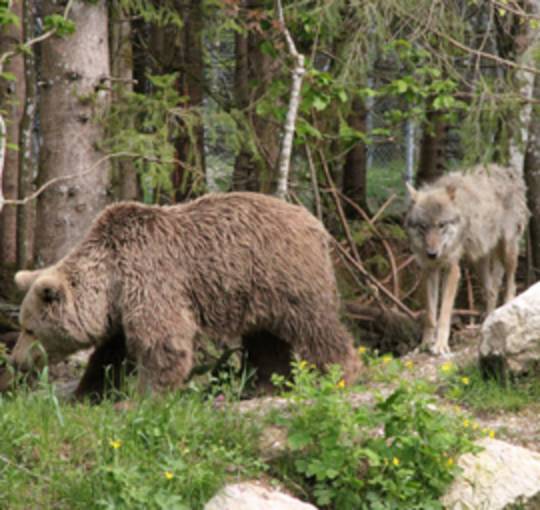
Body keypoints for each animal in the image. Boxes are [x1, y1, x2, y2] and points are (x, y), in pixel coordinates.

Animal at [3, 191, 362, 398]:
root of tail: (315, 223)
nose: (15, 360)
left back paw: (342, 374)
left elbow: (164, 342)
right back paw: (264, 385)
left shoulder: (151, 278)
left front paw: (145, 398)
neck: (110, 280)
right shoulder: (123, 306)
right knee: (266, 338)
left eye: (29, 329)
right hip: (258, 294)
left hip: (284, 275)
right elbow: (111, 353)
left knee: (316, 326)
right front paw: (87, 393)